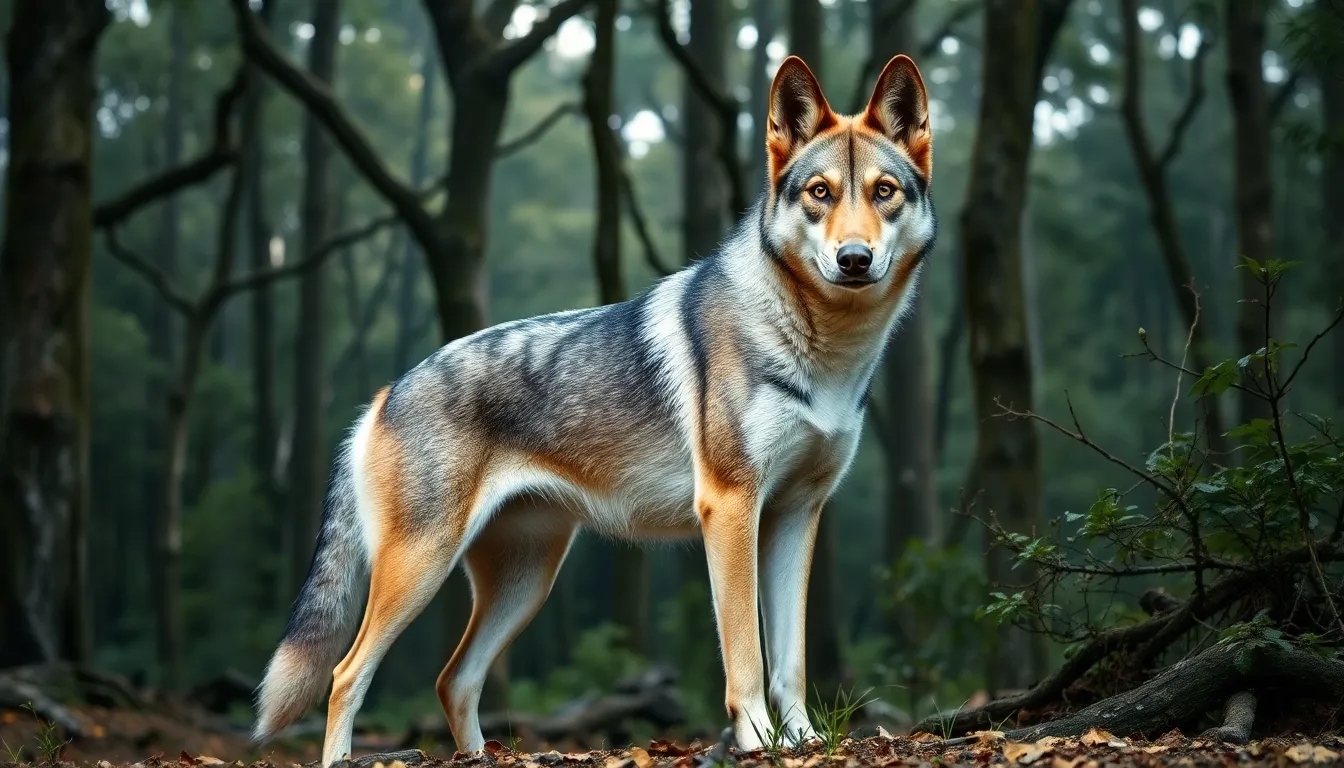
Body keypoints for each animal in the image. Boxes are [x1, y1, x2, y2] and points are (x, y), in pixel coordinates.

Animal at [252, 54, 936, 766]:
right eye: (820, 193)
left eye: (885, 191)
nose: (853, 259)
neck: (824, 353)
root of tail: (386, 393)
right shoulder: (731, 508)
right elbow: (746, 658)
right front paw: (757, 743)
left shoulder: (797, 515)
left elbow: (790, 661)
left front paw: (801, 742)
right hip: (422, 566)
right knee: (345, 674)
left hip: (526, 582)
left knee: (453, 679)